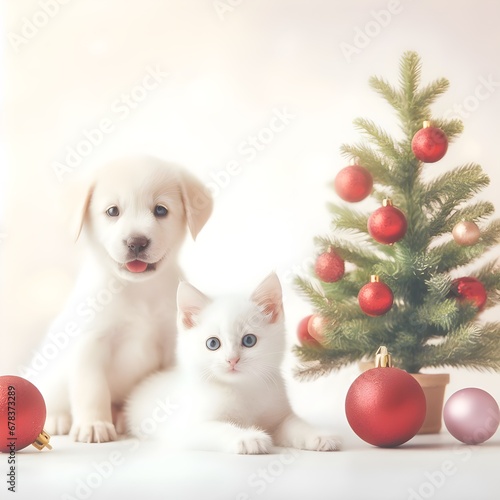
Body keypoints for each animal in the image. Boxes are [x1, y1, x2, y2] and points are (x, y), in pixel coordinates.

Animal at [37, 155, 212, 442]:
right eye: (112, 211)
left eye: (160, 210)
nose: (136, 242)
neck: (137, 290)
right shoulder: (91, 342)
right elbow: (92, 389)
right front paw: (93, 424)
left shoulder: (170, 345)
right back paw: (57, 419)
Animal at [127, 274, 342, 454]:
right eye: (212, 343)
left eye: (249, 340)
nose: (232, 359)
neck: (241, 388)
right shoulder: (185, 429)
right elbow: (218, 428)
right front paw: (248, 438)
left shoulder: (279, 415)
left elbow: (294, 424)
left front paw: (318, 435)